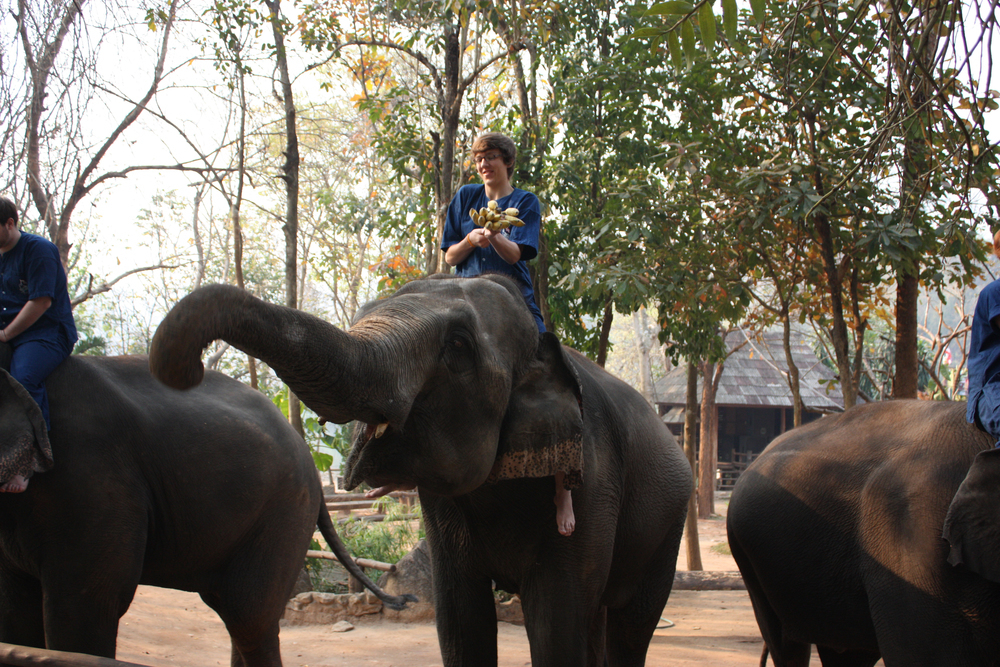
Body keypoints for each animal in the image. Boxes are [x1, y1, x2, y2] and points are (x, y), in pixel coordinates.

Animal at [0, 352, 410, 664]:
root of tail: (308, 454)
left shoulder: (92, 479)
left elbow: (84, 609)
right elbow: (16, 614)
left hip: (285, 508)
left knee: (249, 617)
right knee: (235, 612)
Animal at [150, 276, 696, 667]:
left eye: (457, 347)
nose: (190, 370)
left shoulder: (591, 481)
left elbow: (556, 627)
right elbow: (459, 623)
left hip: (668, 522)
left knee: (630, 626)